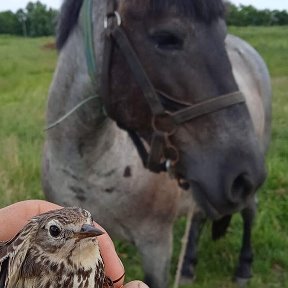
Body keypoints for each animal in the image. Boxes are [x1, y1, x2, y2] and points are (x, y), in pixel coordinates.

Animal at [41, 1, 272, 286]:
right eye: (166, 38)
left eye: (222, 35)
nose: (243, 176)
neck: (88, 167)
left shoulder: (156, 246)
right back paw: (188, 266)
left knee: (249, 210)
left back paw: (243, 267)